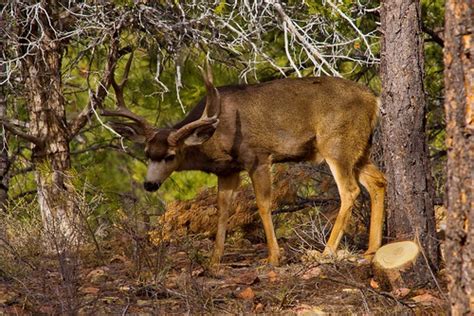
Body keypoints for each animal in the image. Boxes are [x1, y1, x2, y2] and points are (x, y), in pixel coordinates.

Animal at [103, 58, 386, 266]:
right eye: (147, 153)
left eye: (170, 156)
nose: (149, 184)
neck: (215, 136)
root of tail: (373, 100)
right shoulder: (228, 170)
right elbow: (222, 210)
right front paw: (214, 261)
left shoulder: (257, 155)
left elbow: (263, 204)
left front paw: (273, 257)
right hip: (360, 148)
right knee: (378, 181)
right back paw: (372, 250)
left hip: (336, 144)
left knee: (349, 190)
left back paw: (326, 252)